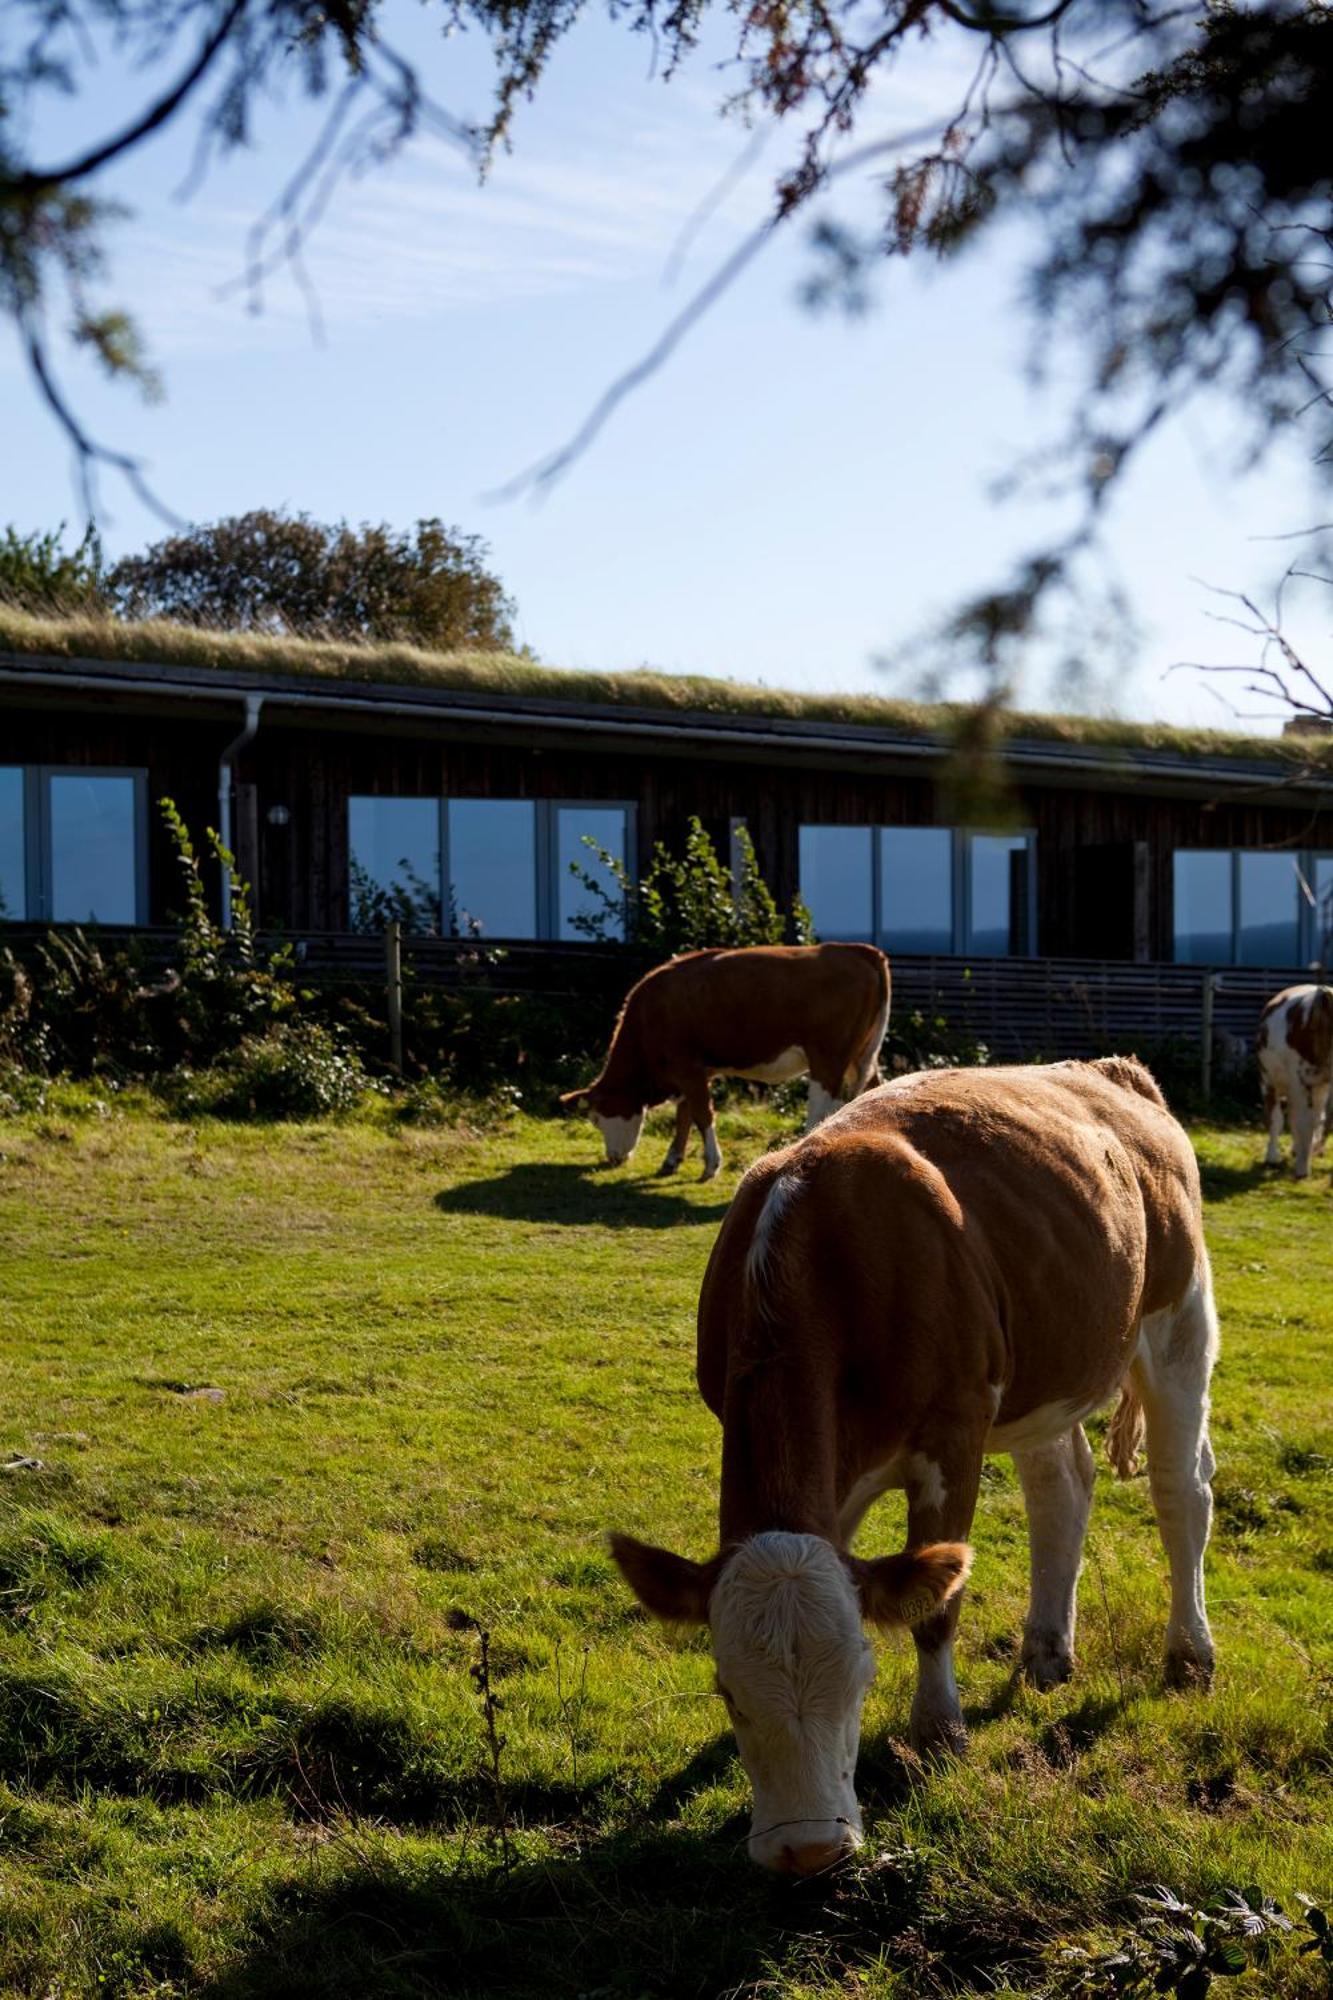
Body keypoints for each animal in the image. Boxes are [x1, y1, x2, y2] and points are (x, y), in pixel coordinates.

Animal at [556, 940, 880, 1176]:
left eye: (596, 1118)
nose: (612, 1158)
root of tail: (855, 949)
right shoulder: (697, 1070)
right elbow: (684, 1114)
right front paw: (672, 1159)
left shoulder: (686, 1067)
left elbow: (702, 1114)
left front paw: (711, 1163)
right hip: (862, 1057)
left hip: (828, 1059)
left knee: (824, 1107)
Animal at [608, 1064, 1216, 1872]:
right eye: (726, 1690)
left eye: (863, 1678)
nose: (807, 1850)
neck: (819, 1256)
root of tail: (1110, 1072)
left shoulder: (954, 1436)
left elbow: (936, 1607)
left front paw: (937, 1732)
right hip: (1049, 1365)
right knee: (1060, 1489)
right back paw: (1046, 1649)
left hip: (1178, 1318)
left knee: (1182, 1493)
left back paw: (1189, 1655)